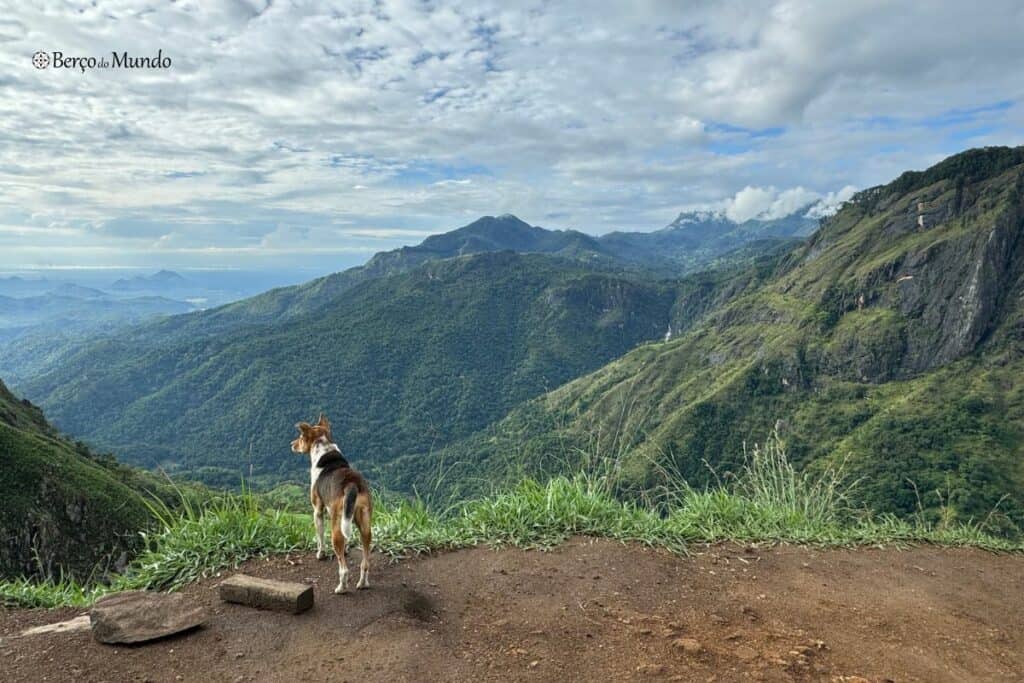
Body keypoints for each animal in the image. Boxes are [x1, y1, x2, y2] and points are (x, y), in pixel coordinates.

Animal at [290, 413, 374, 593]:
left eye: (301, 437)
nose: (291, 445)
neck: (324, 448)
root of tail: (351, 484)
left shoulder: (318, 510)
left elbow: (320, 536)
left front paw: (320, 554)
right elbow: (346, 542)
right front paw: (347, 549)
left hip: (336, 526)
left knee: (344, 569)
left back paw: (341, 588)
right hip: (364, 524)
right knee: (365, 563)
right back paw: (363, 584)